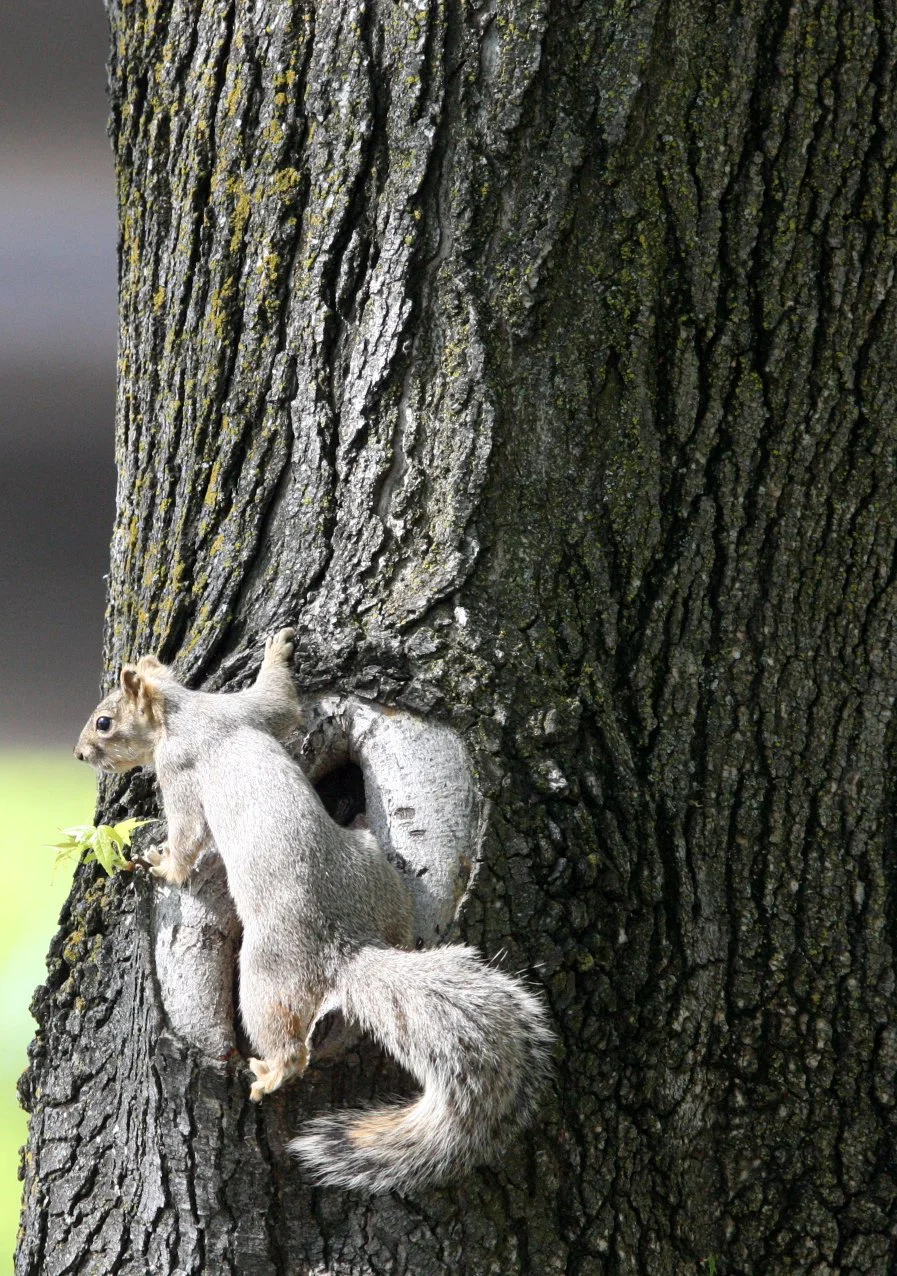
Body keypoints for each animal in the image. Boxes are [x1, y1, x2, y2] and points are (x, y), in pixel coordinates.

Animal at [75, 628, 554, 1193]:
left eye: (105, 722)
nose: (80, 753)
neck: (186, 710)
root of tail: (348, 949)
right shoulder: (244, 710)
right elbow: (278, 703)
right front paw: (280, 650)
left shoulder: (180, 770)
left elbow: (189, 834)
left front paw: (163, 865)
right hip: (374, 875)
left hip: (266, 977)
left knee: (290, 1047)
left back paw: (269, 1073)